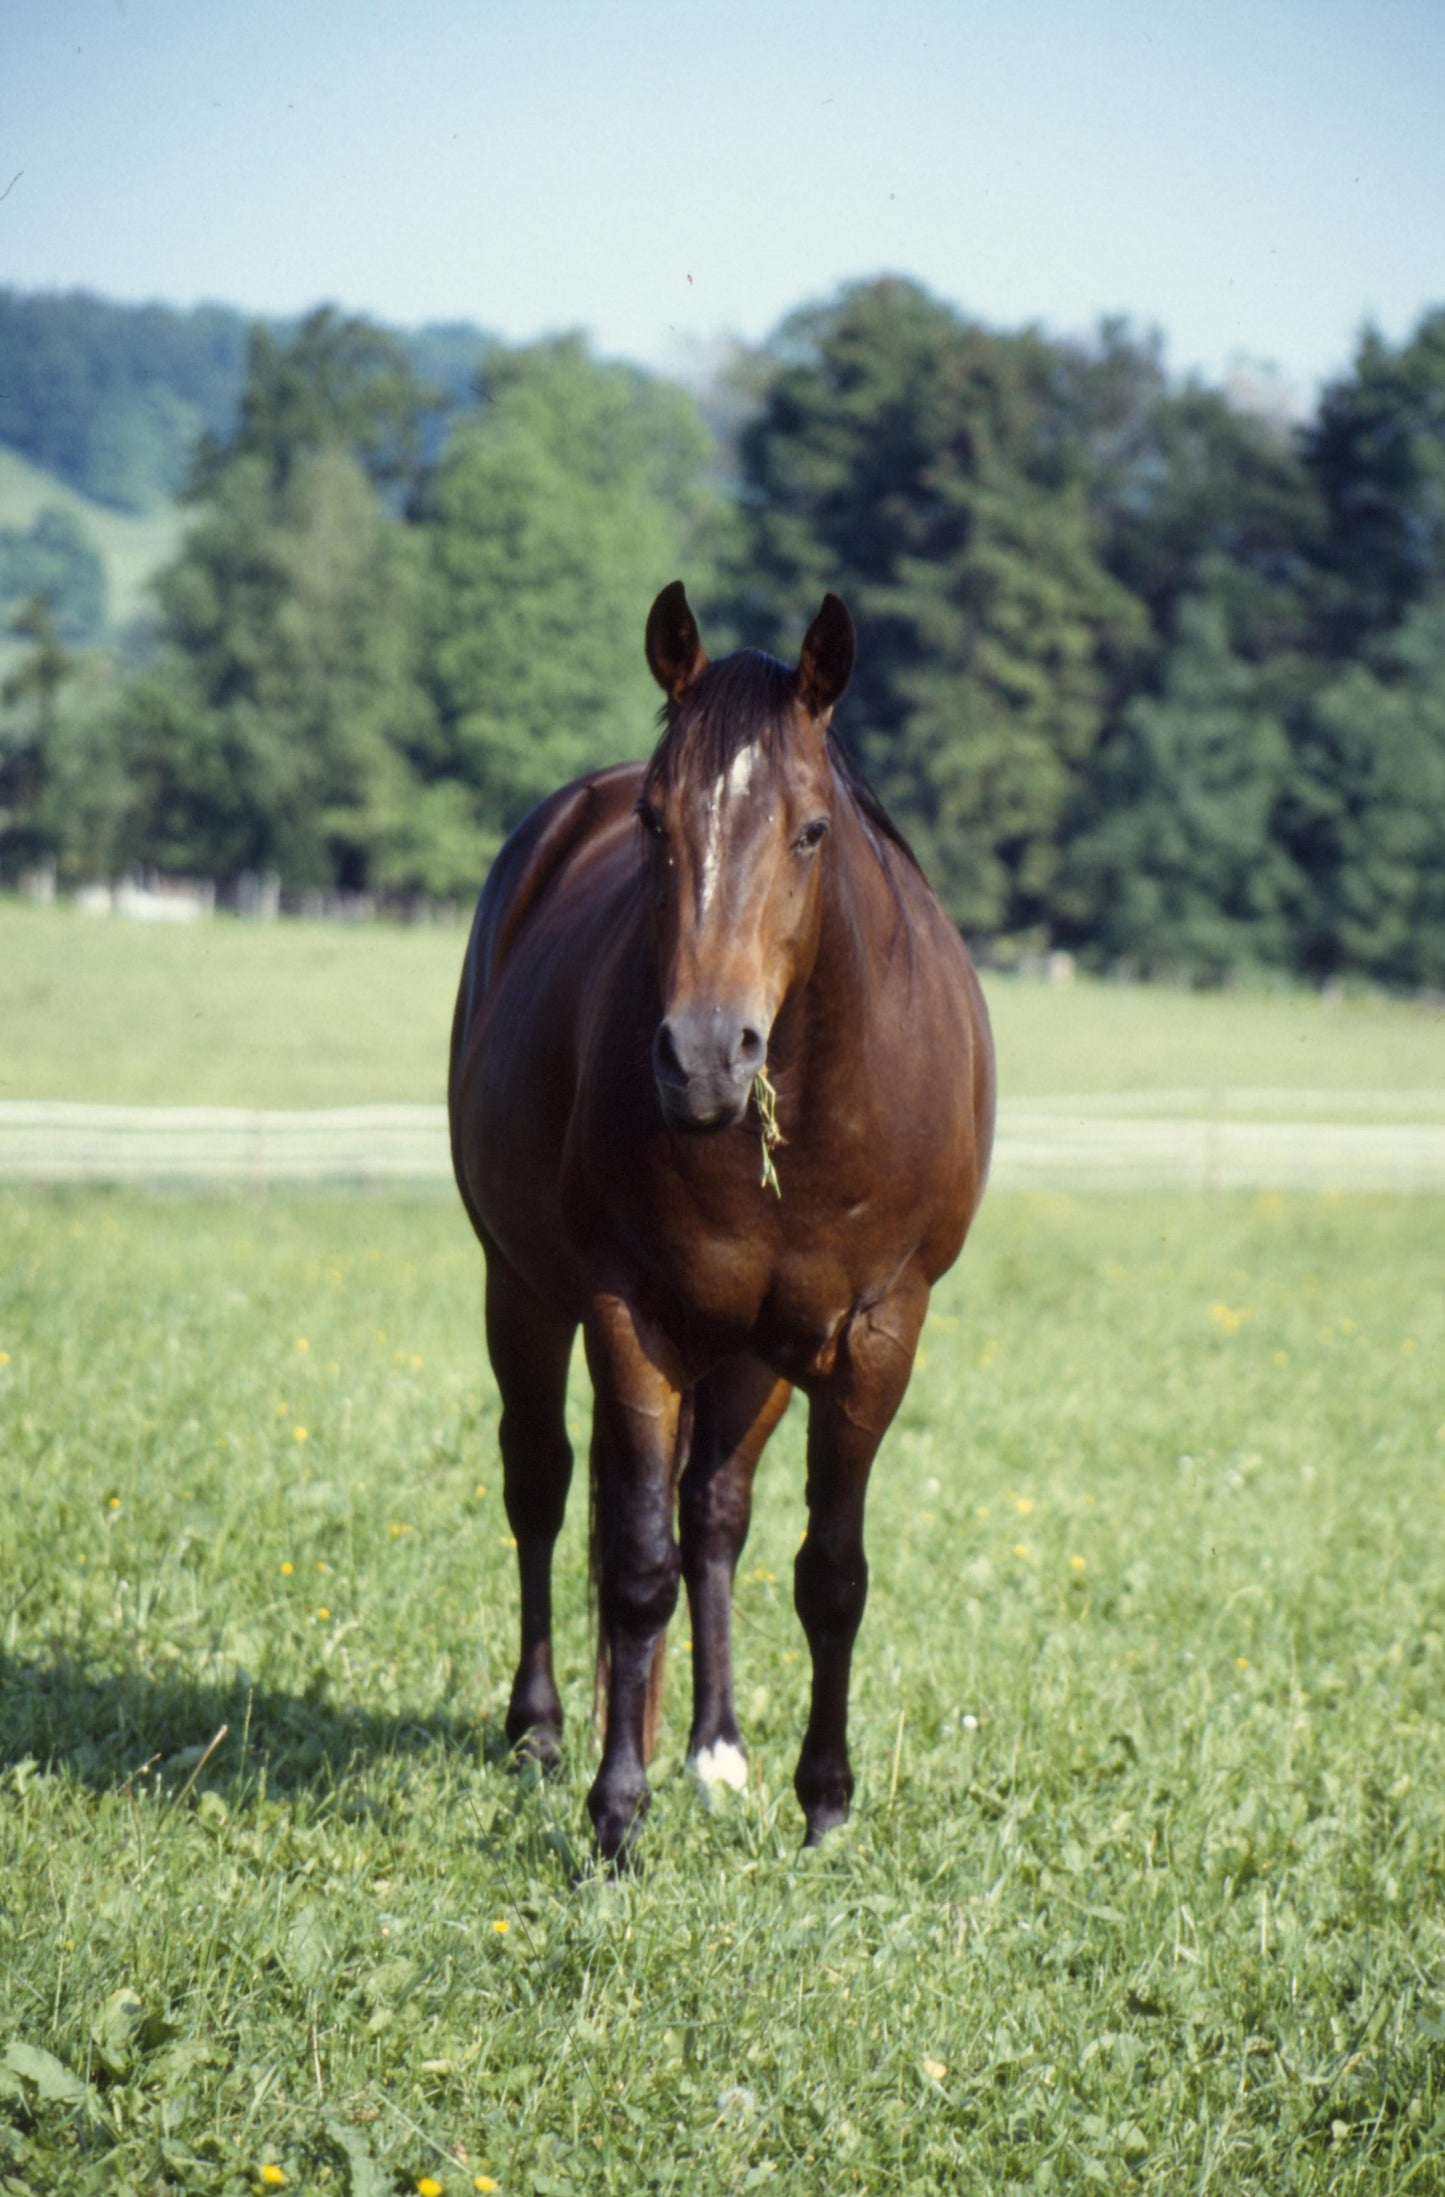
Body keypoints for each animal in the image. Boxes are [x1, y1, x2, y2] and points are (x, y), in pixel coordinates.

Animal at [447, 584, 992, 1854]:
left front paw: (824, 1803)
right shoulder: (629, 1316)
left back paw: (713, 1748)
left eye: (810, 830)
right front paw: (614, 1816)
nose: (702, 1057)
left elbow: (827, 1570)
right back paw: (544, 1729)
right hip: (521, 1289)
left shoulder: (873, 1333)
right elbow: (633, 1565)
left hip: (752, 1354)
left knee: (714, 1516)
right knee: (543, 1483)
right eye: (655, 826)